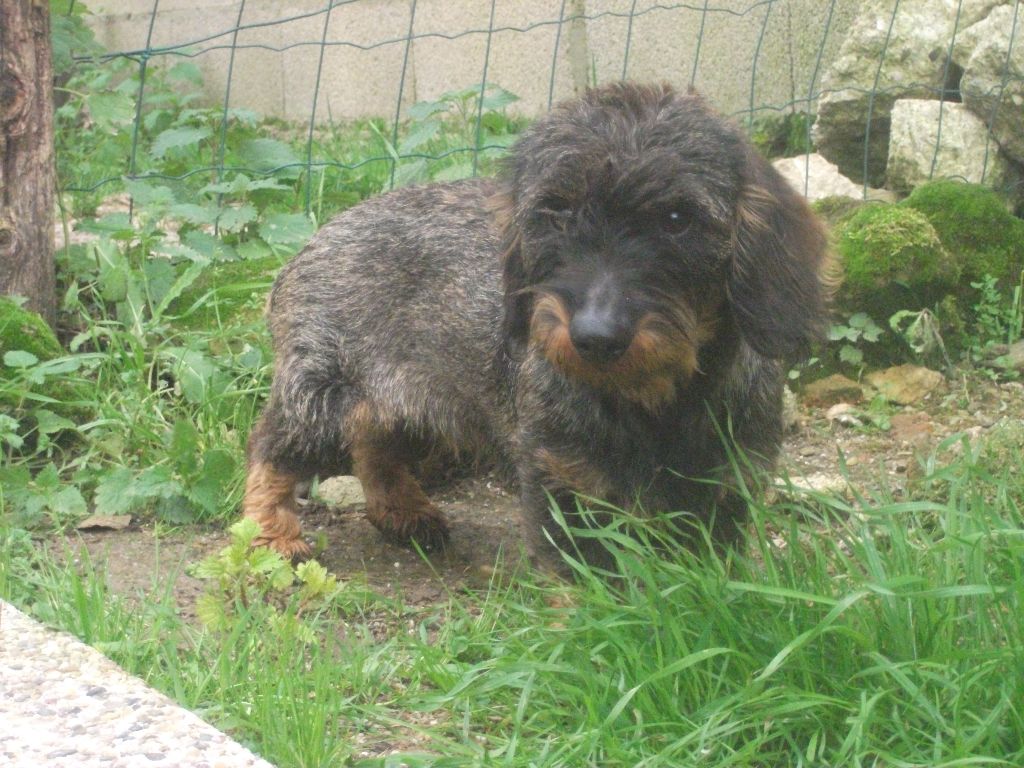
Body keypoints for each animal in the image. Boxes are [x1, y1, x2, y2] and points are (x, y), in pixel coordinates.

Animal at [240, 82, 830, 571]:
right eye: (556, 212)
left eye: (678, 219)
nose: (595, 336)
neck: (651, 401)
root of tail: (312, 241)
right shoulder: (560, 479)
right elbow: (580, 578)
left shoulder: (724, 487)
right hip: (320, 397)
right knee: (269, 450)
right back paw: (271, 537)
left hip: (407, 402)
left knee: (372, 447)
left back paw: (402, 510)